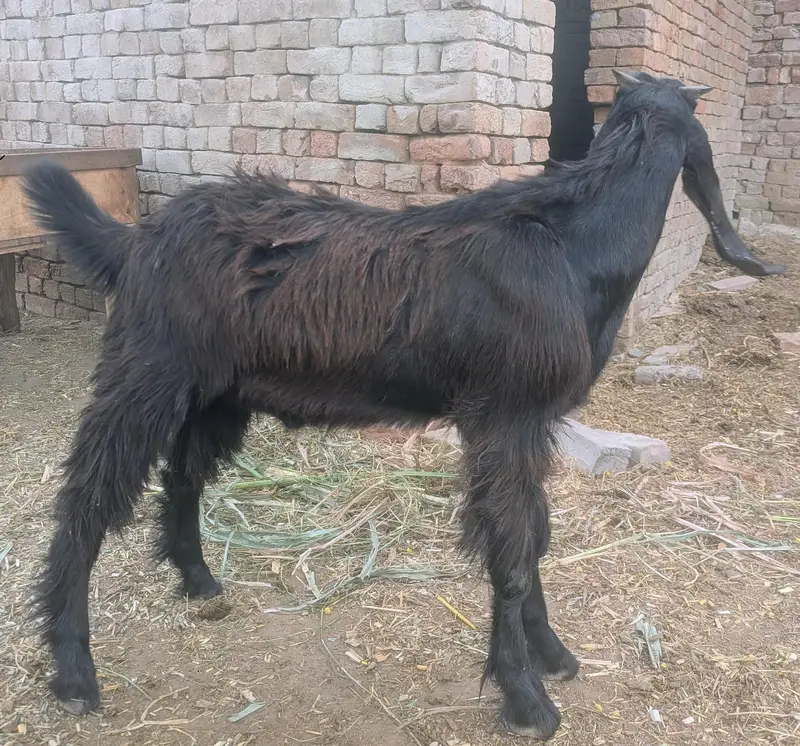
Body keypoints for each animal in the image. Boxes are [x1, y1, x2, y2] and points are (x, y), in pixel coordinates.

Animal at [22, 70, 784, 740]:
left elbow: (533, 535)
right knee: (85, 500)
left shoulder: (532, 424)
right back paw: (74, 671)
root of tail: (137, 241)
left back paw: (199, 581)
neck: (570, 250)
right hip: (143, 374)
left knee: (182, 478)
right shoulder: (502, 416)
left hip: (215, 394)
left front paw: (554, 656)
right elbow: (510, 550)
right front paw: (525, 700)